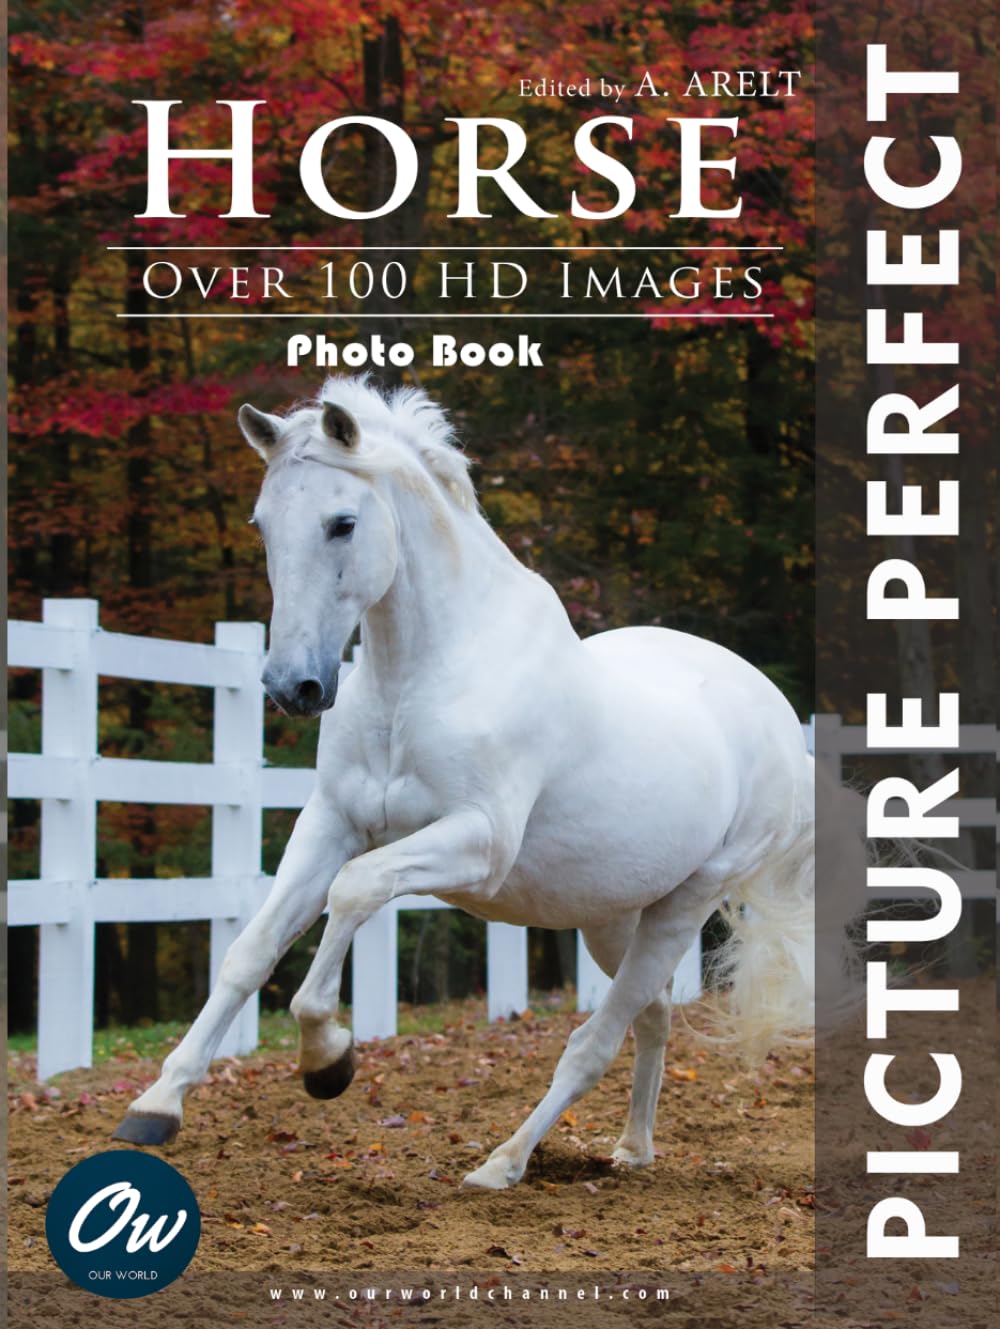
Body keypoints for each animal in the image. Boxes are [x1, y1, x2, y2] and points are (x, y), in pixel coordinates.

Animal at [114, 376, 818, 1190]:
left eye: (342, 522)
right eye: (262, 524)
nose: (293, 686)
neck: (421, 677)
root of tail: (776, 717)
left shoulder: (477, 843)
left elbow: (352, 891)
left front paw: (328, 1060)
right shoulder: (330, 822)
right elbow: (250, 952)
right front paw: (156, 1105)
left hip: (685, 903)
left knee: (594, 1042)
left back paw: (502, 1163)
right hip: (613, 915)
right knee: (652, 1017)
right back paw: (631, 1150)